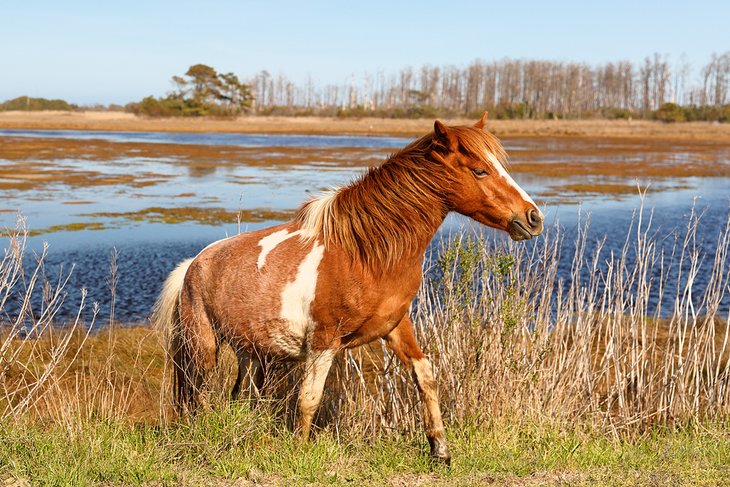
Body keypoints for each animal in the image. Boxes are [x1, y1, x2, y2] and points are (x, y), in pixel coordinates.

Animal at [152, 112, 540, 464]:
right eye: (480, 170)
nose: (533, 217)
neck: (365, 254)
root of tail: (193, 264)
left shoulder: (396, 327)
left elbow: (425, 374)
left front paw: (440, 449)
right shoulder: (323, 343)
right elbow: (309, 399)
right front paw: (298, 452)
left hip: (251, 353)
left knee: (239, 395)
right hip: (202, 347)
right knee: (197, 395)